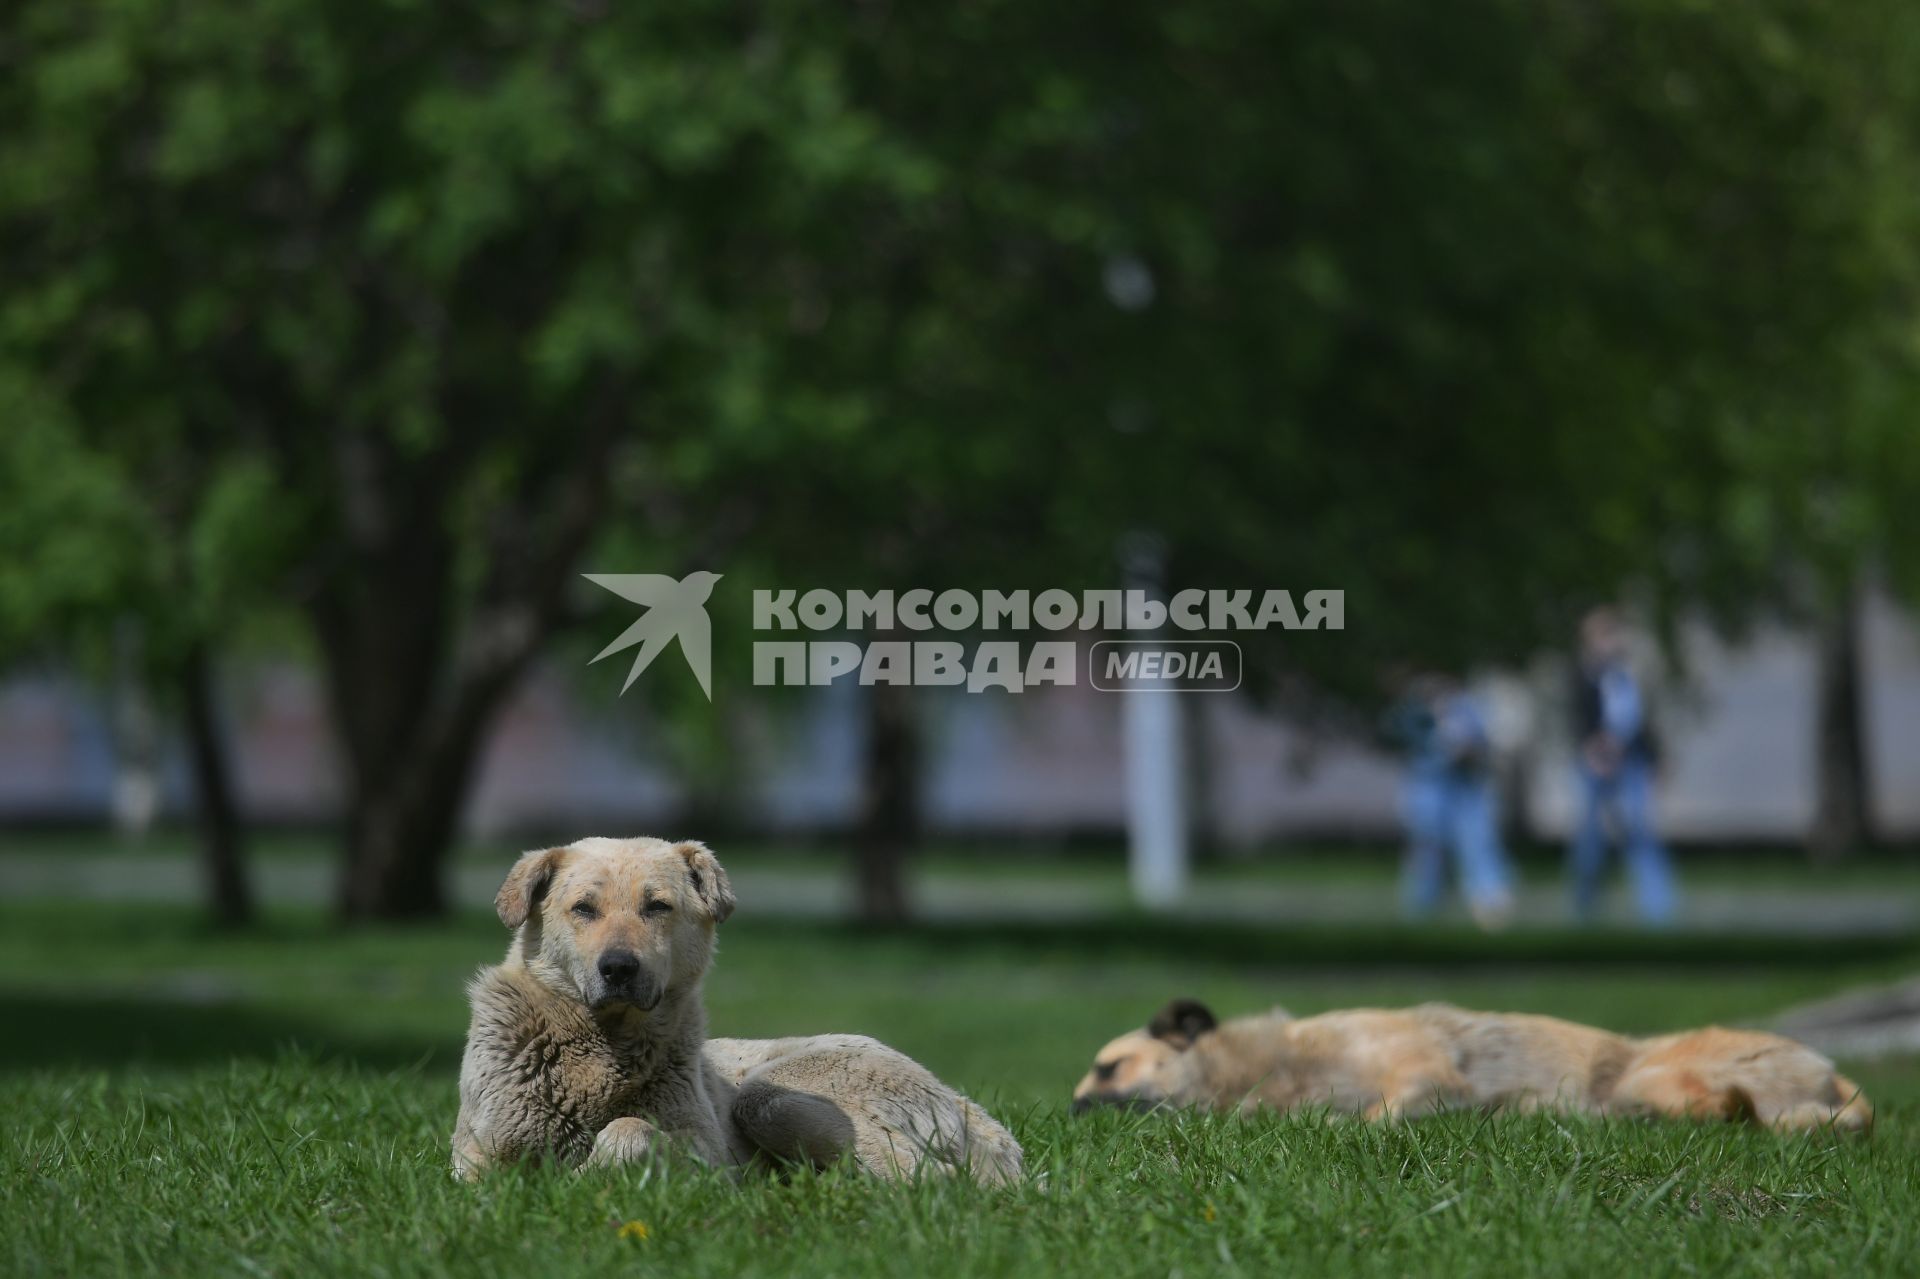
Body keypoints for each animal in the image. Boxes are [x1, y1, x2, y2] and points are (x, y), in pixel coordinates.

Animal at [453, 837, 1021, 1175]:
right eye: (583, 909)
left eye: (657, 906)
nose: (618, 968)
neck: (602, 1045)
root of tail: (960, 1101)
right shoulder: (477, 1153)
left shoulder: (711, 1158)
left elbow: (630, 1131)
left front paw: (588, 1173)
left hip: (772, 1096)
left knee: (932, 1179)